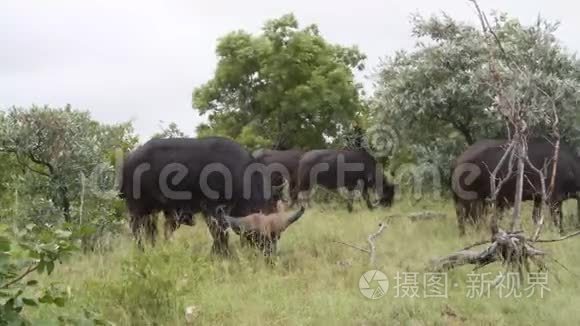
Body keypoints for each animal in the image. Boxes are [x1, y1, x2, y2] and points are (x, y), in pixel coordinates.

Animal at [119, 136, 272, 253]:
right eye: (263, 235)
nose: (270, 254)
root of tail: (128, 160)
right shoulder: (212, 210)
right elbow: (220, 235)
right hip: (138, 209)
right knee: (137, 231)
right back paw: (141, 250)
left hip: (152, 211)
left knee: (151, 232)